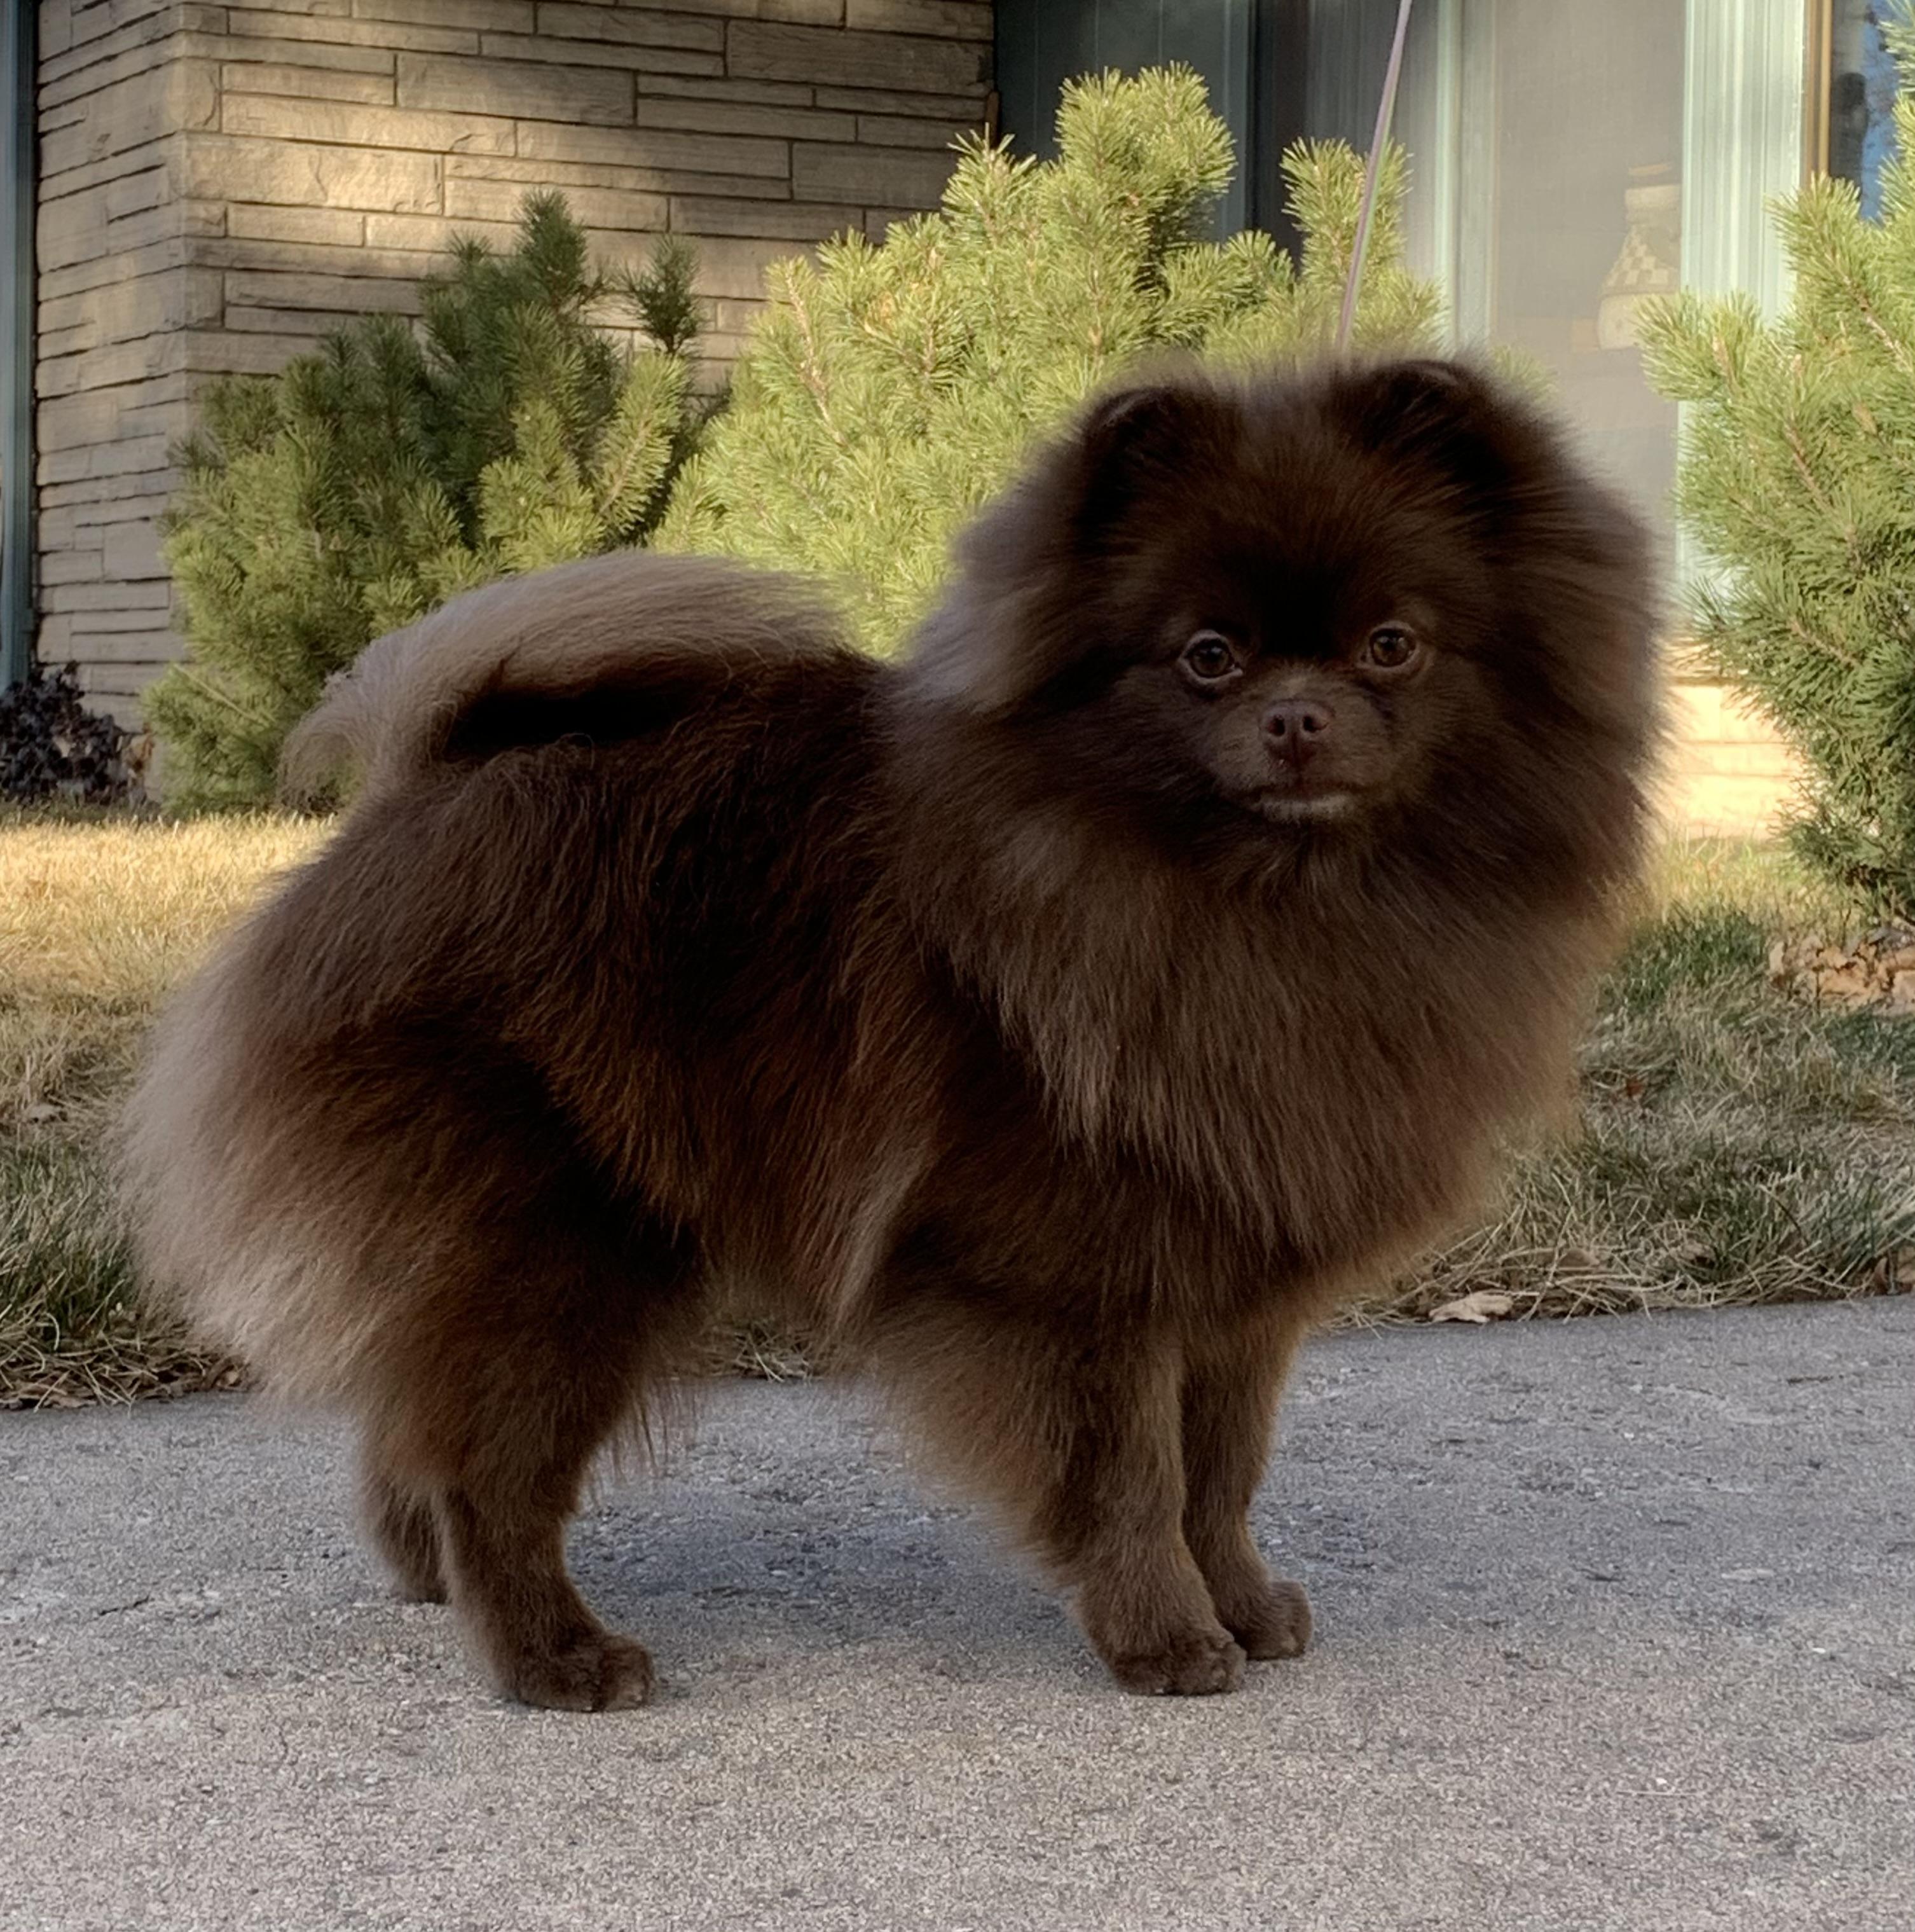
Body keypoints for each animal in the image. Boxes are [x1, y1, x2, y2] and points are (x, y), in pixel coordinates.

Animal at [121, 358, 1660, 1709]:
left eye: (1392, 645)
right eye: (1207, 658)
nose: (1296, 715)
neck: (1259, 910)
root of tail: (420, 782)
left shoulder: (1230, 1272)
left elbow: (1222, 1469)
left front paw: (1240, 1599)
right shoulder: (1078, 1278)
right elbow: (1132, 1476)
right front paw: (1164, 1637)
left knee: (418, 1418)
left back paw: (430, 1579)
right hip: (559, 1241)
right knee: (488, 1465)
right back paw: (554, 1656)